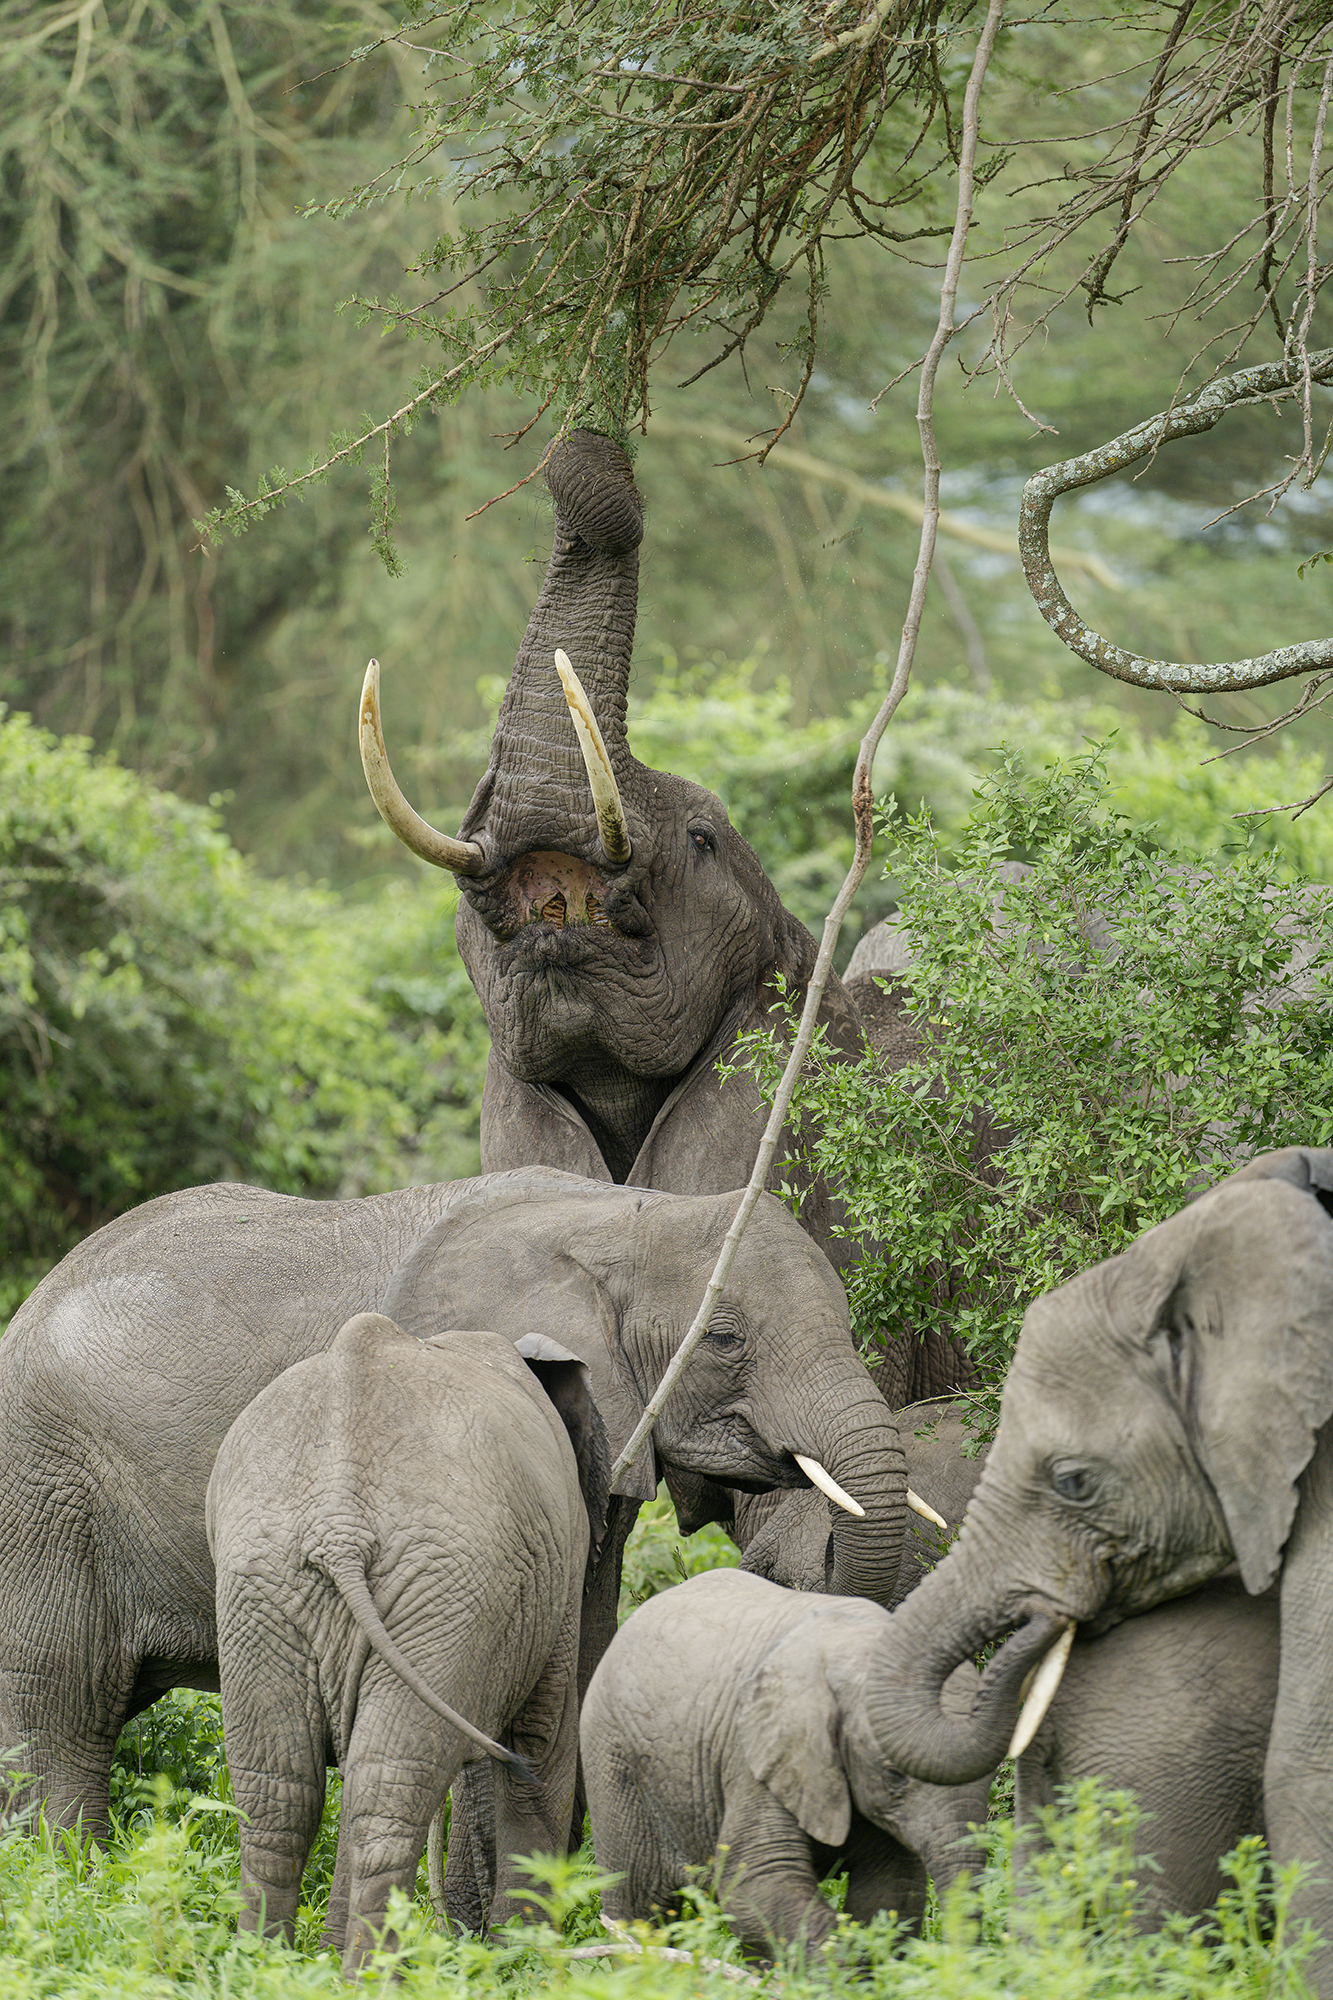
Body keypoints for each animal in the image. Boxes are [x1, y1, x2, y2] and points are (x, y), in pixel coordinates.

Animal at [207, 1314, 604, 1973]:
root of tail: (339, 1523)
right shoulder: (562, 1559)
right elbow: (541, 1739)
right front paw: (523, 1963)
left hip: (265, 1586)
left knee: (283, 1793)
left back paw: (266, 1970)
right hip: (442, 1583)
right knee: (386, 1792)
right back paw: (369, 1975)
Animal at [580, 1568, 991, 1957]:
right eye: (894, 1775)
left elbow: (892, 1889)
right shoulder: (756, 1755)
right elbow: (757, 1881)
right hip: (613, 1759)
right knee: (637, 1905)